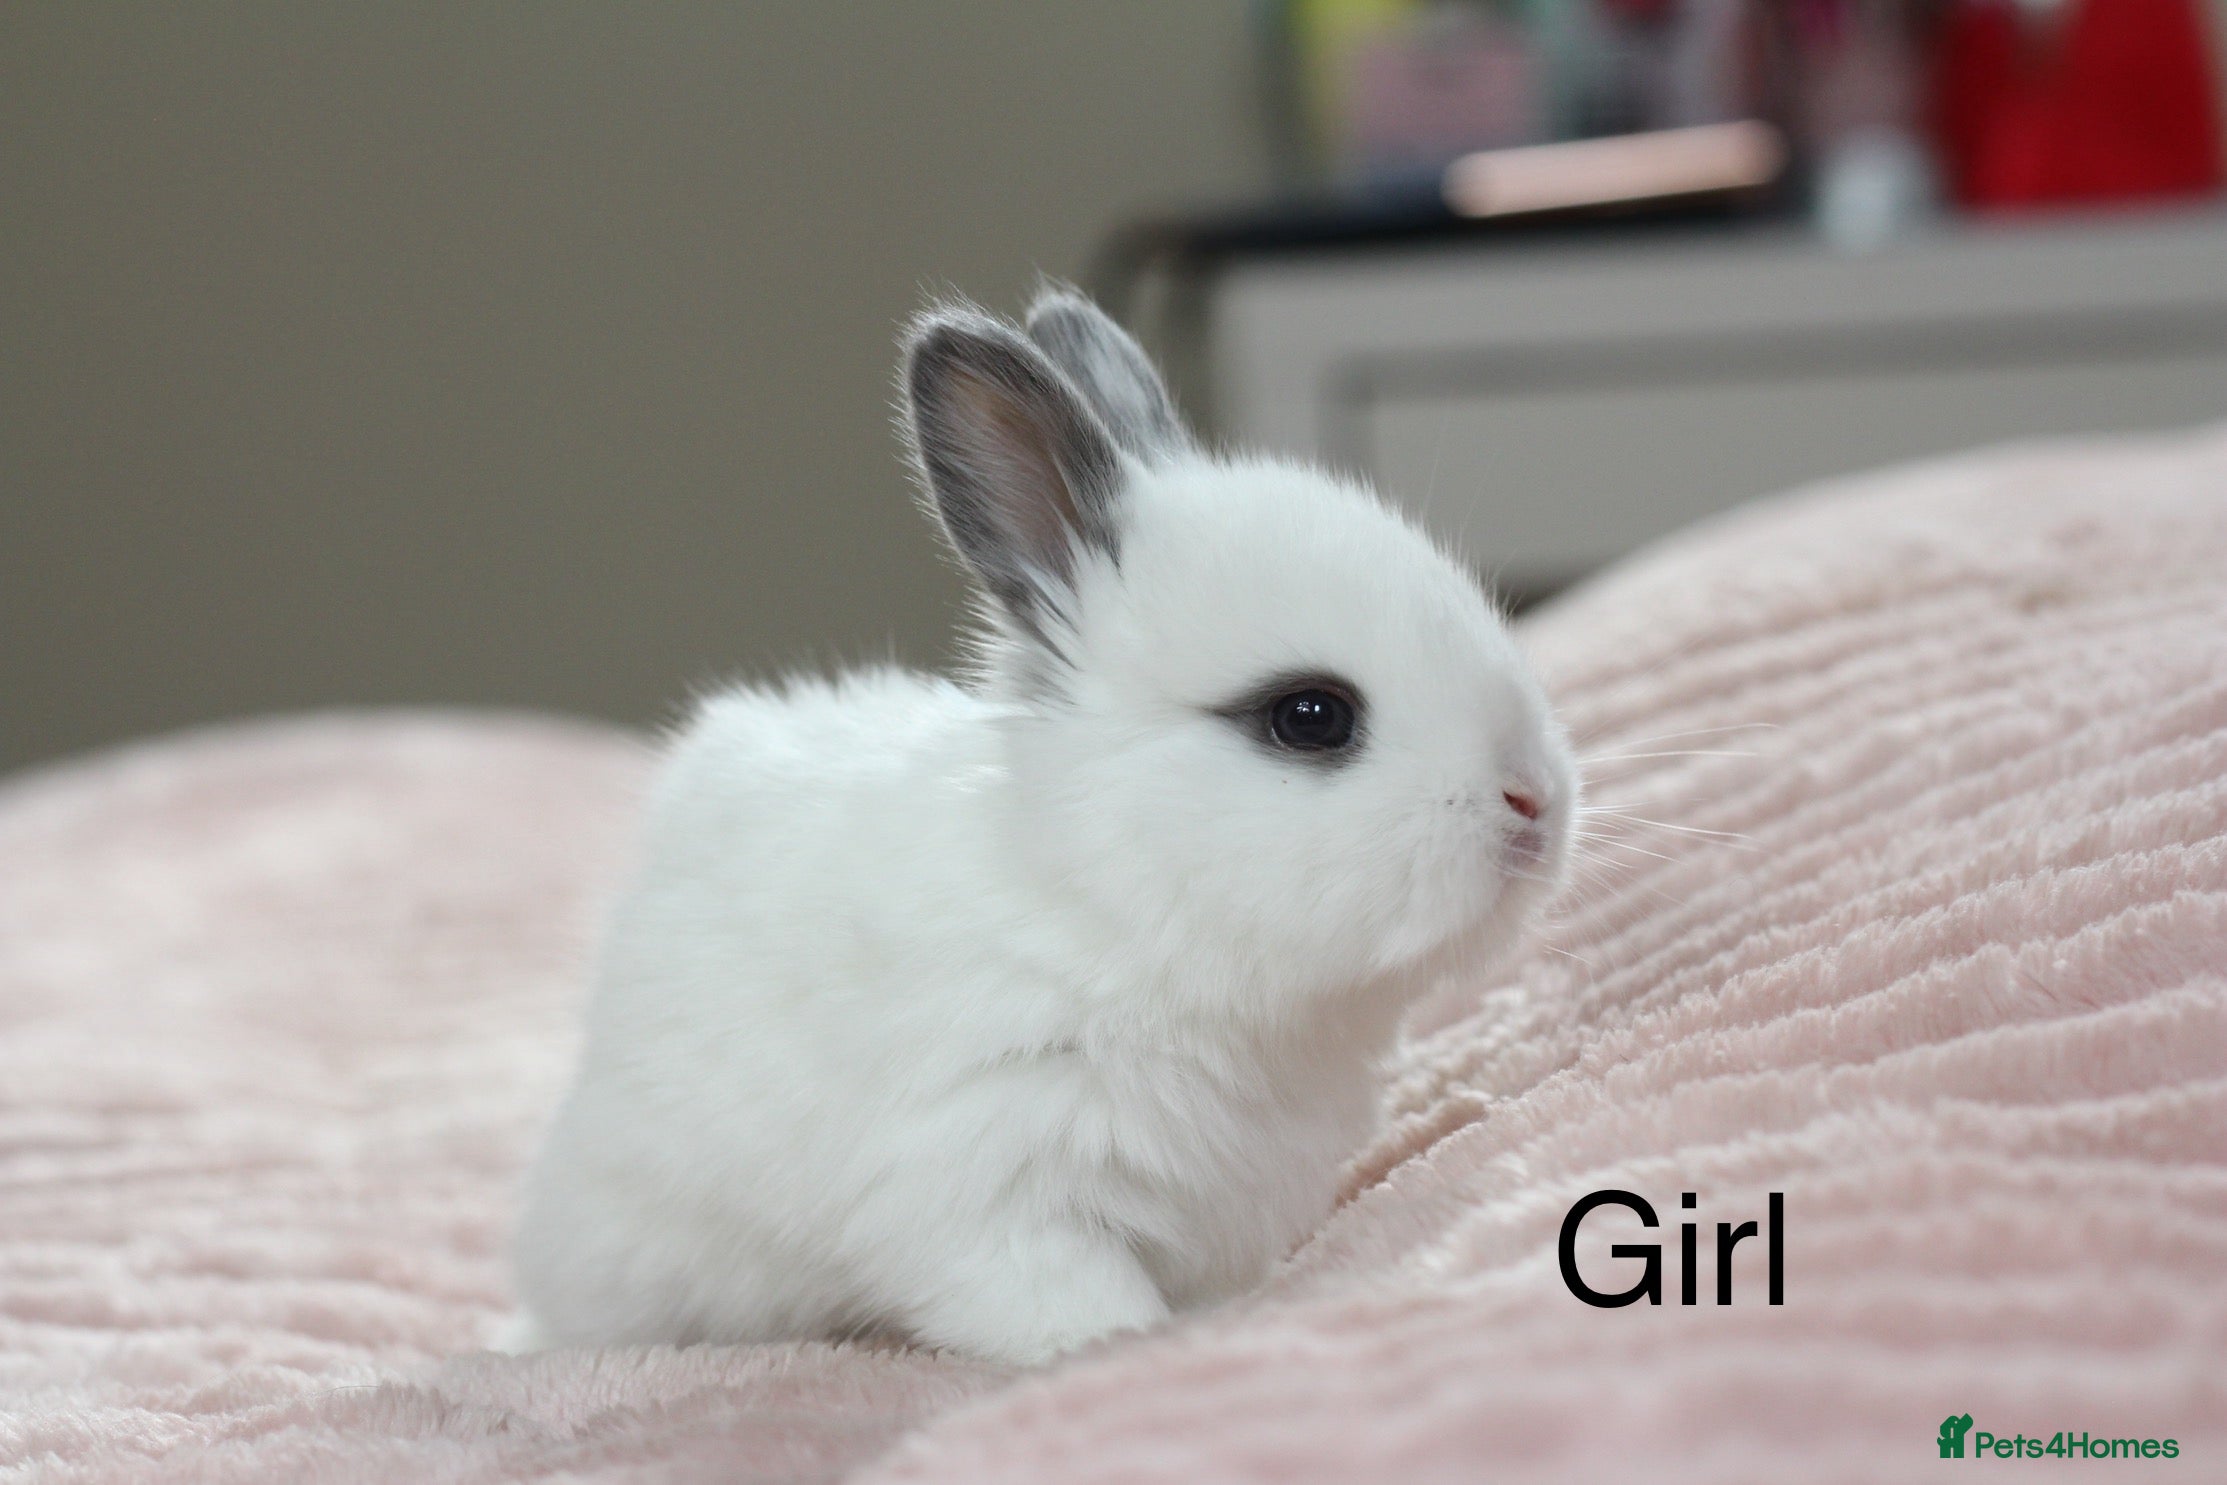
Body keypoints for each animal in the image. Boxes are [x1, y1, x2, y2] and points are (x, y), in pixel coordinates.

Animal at [501, 287, 1575, 1366]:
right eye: (1309, 716)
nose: (1536, 802)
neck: (1110, 908)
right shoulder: (995, 1184)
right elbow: (1083, 1316)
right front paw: (1126, 1349)